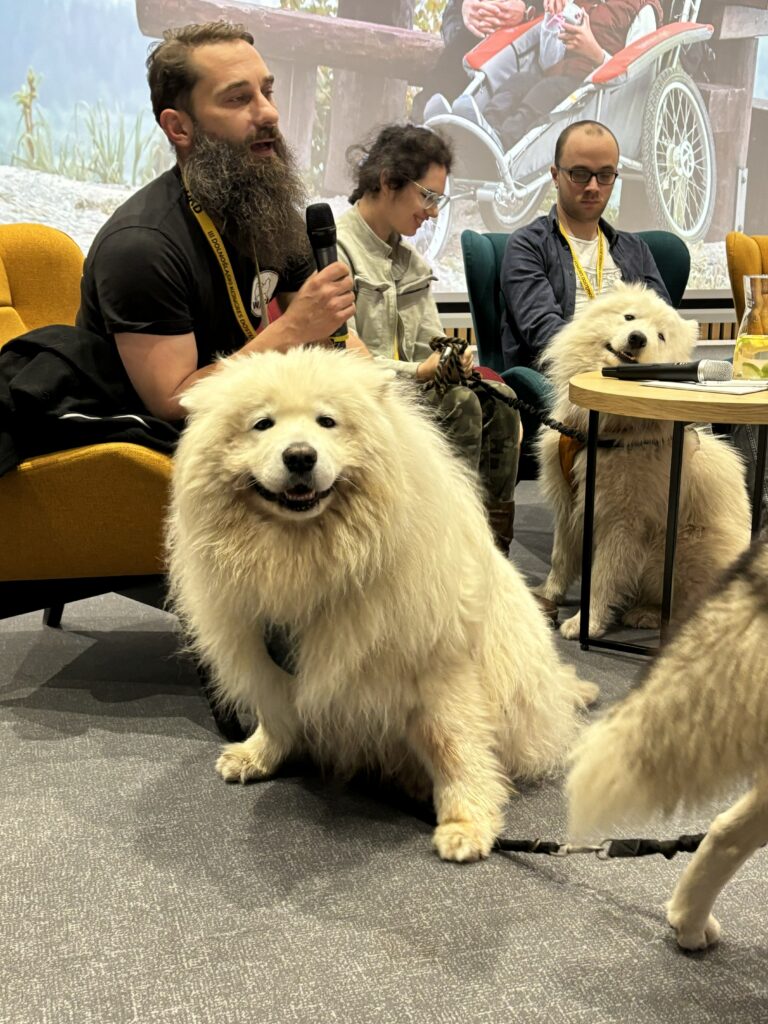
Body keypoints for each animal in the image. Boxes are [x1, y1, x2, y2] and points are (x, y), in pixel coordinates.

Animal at [167, 348, 602, 860]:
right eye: (262, 424)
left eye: (327, 421)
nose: (300, 456)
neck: (306, 558)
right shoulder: (268, 655)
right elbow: (276, 716)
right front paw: (258, 755)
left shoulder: (437, 669)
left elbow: (454, 746)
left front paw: (467, 822)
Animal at [536, 282, 753, 638]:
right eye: (629, 317)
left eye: (661, 336)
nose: (638, 338)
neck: (606, 428)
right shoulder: (568, 502)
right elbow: (560, 557)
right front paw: (547, 595)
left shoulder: (622, 519)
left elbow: (603, 576)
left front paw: (585, 623)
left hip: (679, 547)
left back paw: (648, 615)